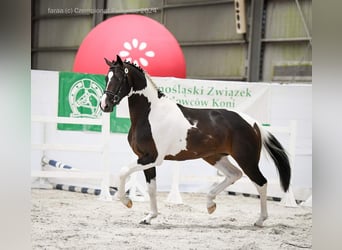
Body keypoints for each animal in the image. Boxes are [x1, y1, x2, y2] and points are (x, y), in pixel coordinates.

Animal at [100, 54, 290, 227]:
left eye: (118, 78)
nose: (105, 105)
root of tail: (255, 124)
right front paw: (149, 217)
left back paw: (260, 220)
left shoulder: (152, 157)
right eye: (106, 78)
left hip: (247, 159)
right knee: (234, 174)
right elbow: (152, 188)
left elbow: (123, 171)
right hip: (215, 156)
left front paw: (127, 201)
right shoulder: (146, 159)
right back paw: (210, 204)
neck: (149, 114)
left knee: (261, 182)